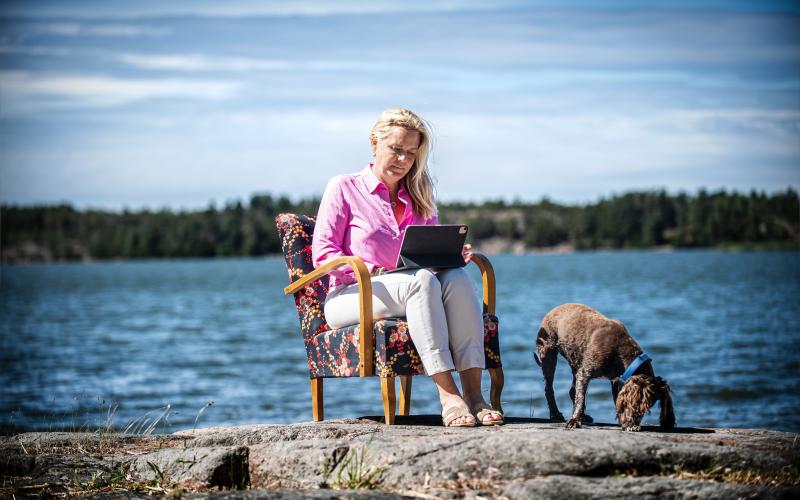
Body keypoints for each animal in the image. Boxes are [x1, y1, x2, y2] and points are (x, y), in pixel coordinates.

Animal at [536, 302, 676, 432]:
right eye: (636, 404)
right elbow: (580, 398)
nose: (634, 426)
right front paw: (574, 421)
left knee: (572, 390)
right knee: (549, 388)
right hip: (548, 352)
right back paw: (555, 414)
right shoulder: (585, 371)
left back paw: (584, 416)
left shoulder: (616, 379)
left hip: (575, 360)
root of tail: (554, 309)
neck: (620, 350)